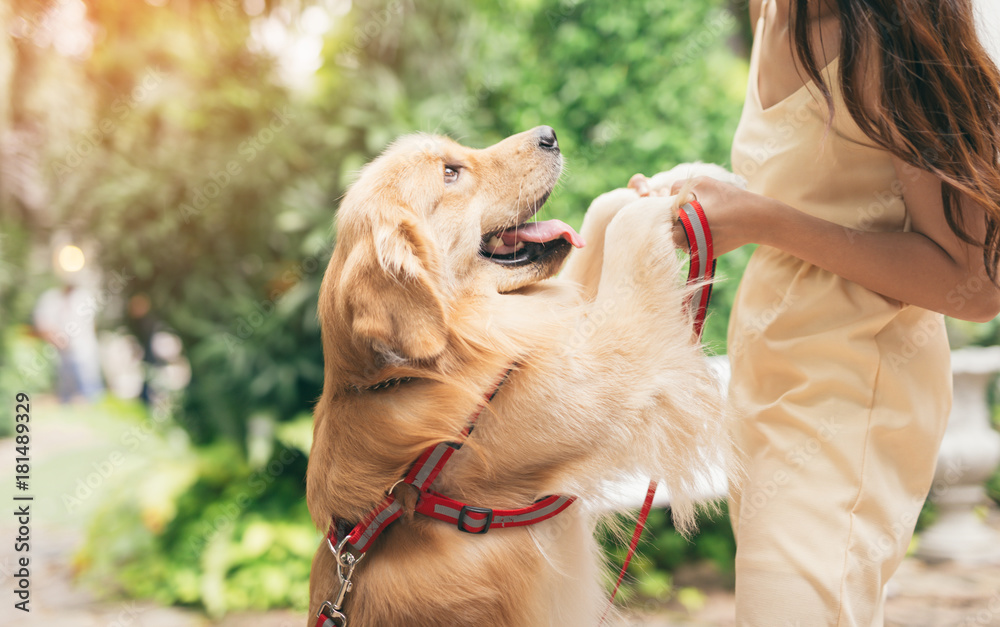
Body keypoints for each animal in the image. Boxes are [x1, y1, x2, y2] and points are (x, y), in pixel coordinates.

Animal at [304, 127, 736, 627]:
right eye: (450, 173)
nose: (549, 135)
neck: (415, 373)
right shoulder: (603, 372)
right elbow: (626, 239)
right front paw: (656, 204)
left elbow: (600, 220)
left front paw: (680, 178)